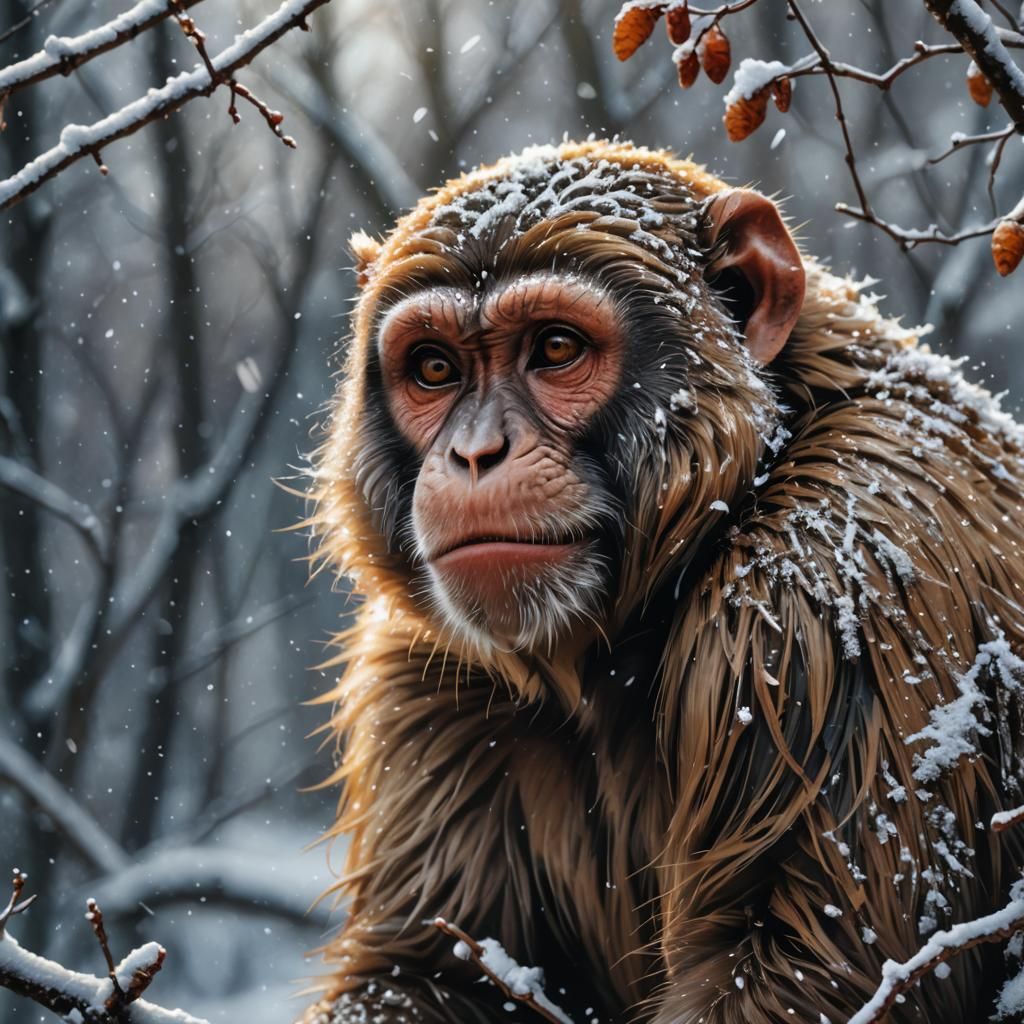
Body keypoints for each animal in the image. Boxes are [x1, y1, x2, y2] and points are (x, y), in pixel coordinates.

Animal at [300, 139, 1024, 1024]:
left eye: (555, 349)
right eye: (435, 368)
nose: (474, 452)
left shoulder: (837, 579)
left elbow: (801, 968)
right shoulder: (427, 677)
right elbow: (428, 973)